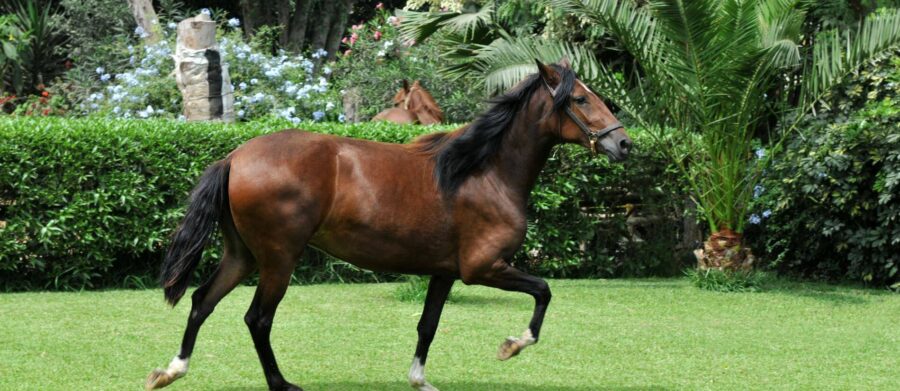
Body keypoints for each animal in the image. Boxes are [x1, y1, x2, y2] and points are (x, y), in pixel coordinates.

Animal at [144, 58, 628, 391]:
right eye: (581, 99)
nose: (623, 143)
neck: (482, 171)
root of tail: (234, 157)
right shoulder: (483, 268)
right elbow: (543, 291)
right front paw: (511, 346)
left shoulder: (445, 273)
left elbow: (428, 326)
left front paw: (420, 380)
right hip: (279, 259)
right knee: (257, 319)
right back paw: (280, 383)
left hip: (242, 255)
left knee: (202, 301)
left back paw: (170, 371)